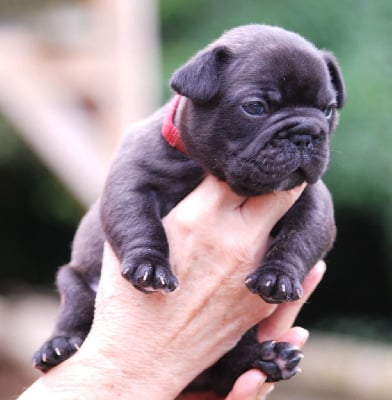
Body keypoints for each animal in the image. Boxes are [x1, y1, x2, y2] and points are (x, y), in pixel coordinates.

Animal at [33, 23, 346, 396]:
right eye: (255, 107)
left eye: (328, 110)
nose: (304, 134)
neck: (214, 173)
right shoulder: (131, 181)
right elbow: (139, 221)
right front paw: (150, 266)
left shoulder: (314, 202)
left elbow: (299, 238)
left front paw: (278, 276)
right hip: (74, 283)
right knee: (75, 314)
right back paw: (57, 347)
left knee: (227, 367)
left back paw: (267, 359)